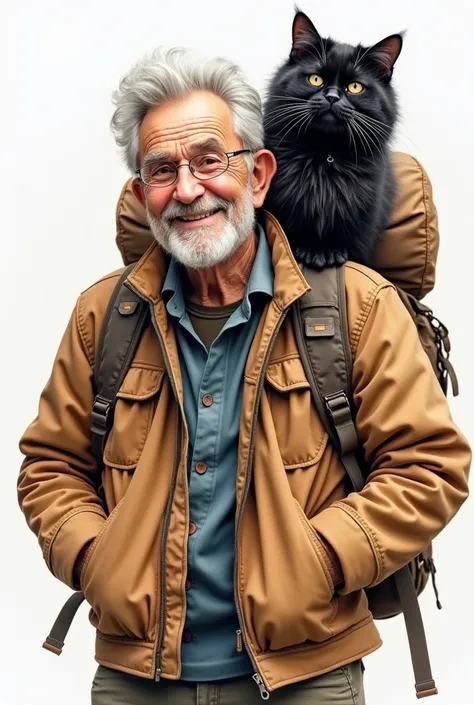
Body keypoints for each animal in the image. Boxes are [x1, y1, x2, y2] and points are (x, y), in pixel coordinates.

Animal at [262, 9, 404, 268]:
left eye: (355, 87)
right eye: (315, 79)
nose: (332, 97)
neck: (324, 155)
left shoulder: (361, 228)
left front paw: (327, 252)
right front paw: (308, 250)